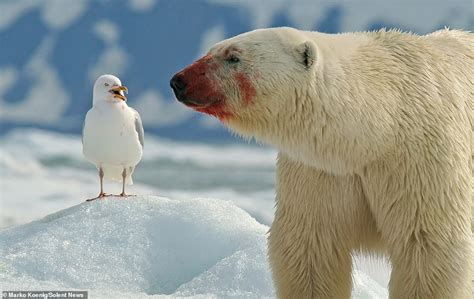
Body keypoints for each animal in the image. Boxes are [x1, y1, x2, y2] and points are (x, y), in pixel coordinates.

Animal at [171, 27, 474, 298]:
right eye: (210, 50)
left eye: (233, 57)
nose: (179, 80)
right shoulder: (320, 169)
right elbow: (311, 246)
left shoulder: (419, 158)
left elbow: (427, 244)